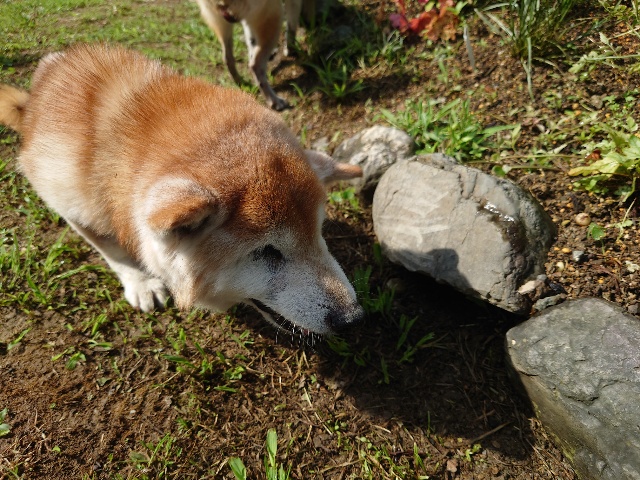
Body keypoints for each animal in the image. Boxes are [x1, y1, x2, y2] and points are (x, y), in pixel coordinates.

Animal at [0, 44, 364, 336]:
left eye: (318, 232)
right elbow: (112, 249)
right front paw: (140, 281)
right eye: (266, 252)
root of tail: (32, 101)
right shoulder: (69, 200)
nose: (354, 319)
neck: (122, 151)